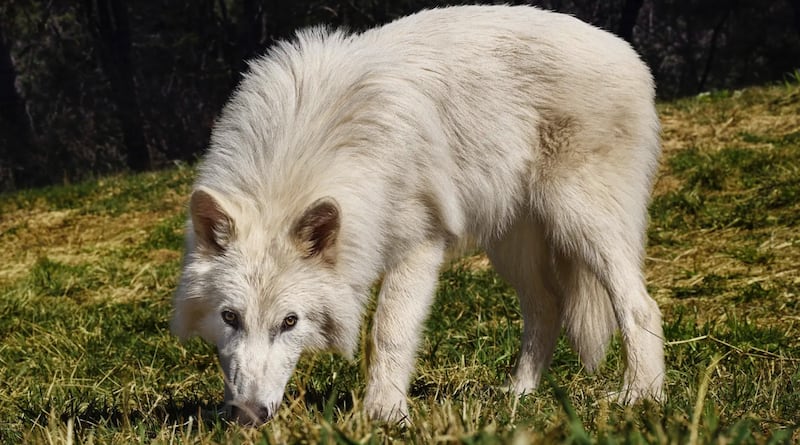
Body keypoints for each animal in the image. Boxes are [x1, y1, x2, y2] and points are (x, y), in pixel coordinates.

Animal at [172, 5, 665, 425]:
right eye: (230, 317)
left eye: (290, 322)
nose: (247, 416)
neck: (304, 151)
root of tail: (626, 51)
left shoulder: (420, 246)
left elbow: (389, 331)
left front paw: (385, 414)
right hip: (512, 247)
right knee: (547, 308)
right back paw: (519, 394)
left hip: (581, 223)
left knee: (640, 305)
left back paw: (641, 396)